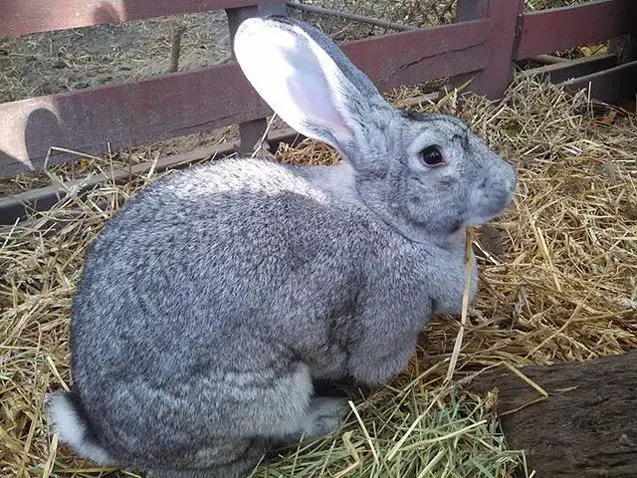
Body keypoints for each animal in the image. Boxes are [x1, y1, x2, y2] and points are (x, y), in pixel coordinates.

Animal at [44, 14, 516, 478]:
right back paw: (325, 414)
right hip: (269, 394)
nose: (507, 181)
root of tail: (112, 441)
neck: (384, 216)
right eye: (433, 156)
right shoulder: (387, 318)